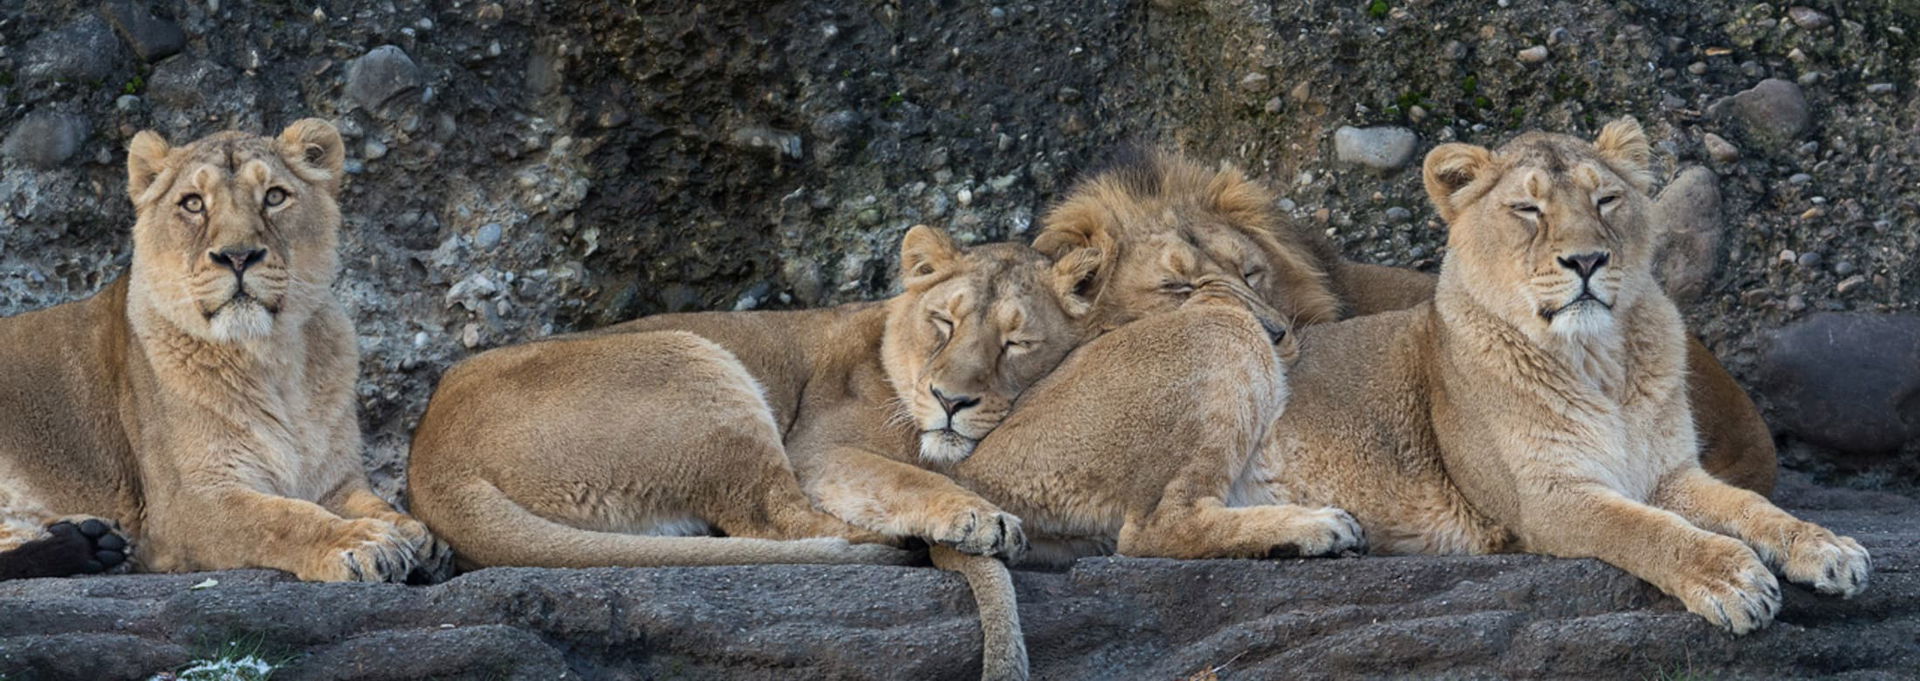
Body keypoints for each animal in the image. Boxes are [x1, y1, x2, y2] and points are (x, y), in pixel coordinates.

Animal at [0, 120, 449, 584]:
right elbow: (282, 518)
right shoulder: (184, 506)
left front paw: (418, 538)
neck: (271, 361)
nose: (238, 256)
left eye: (274, 196)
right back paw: (89, 545)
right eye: (193, 203)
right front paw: (361, 542)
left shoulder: (336, 480)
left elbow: (378, 505)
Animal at [1250, 118, 1869, 633]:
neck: (1600, 362)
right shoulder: (1546, 499)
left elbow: (1752, 508)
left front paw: (1828, 550)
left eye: (1606, 199)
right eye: (1528, 209)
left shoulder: (1669, 474)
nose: (1587, 260)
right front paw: (1731, 579)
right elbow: (1645, 530)